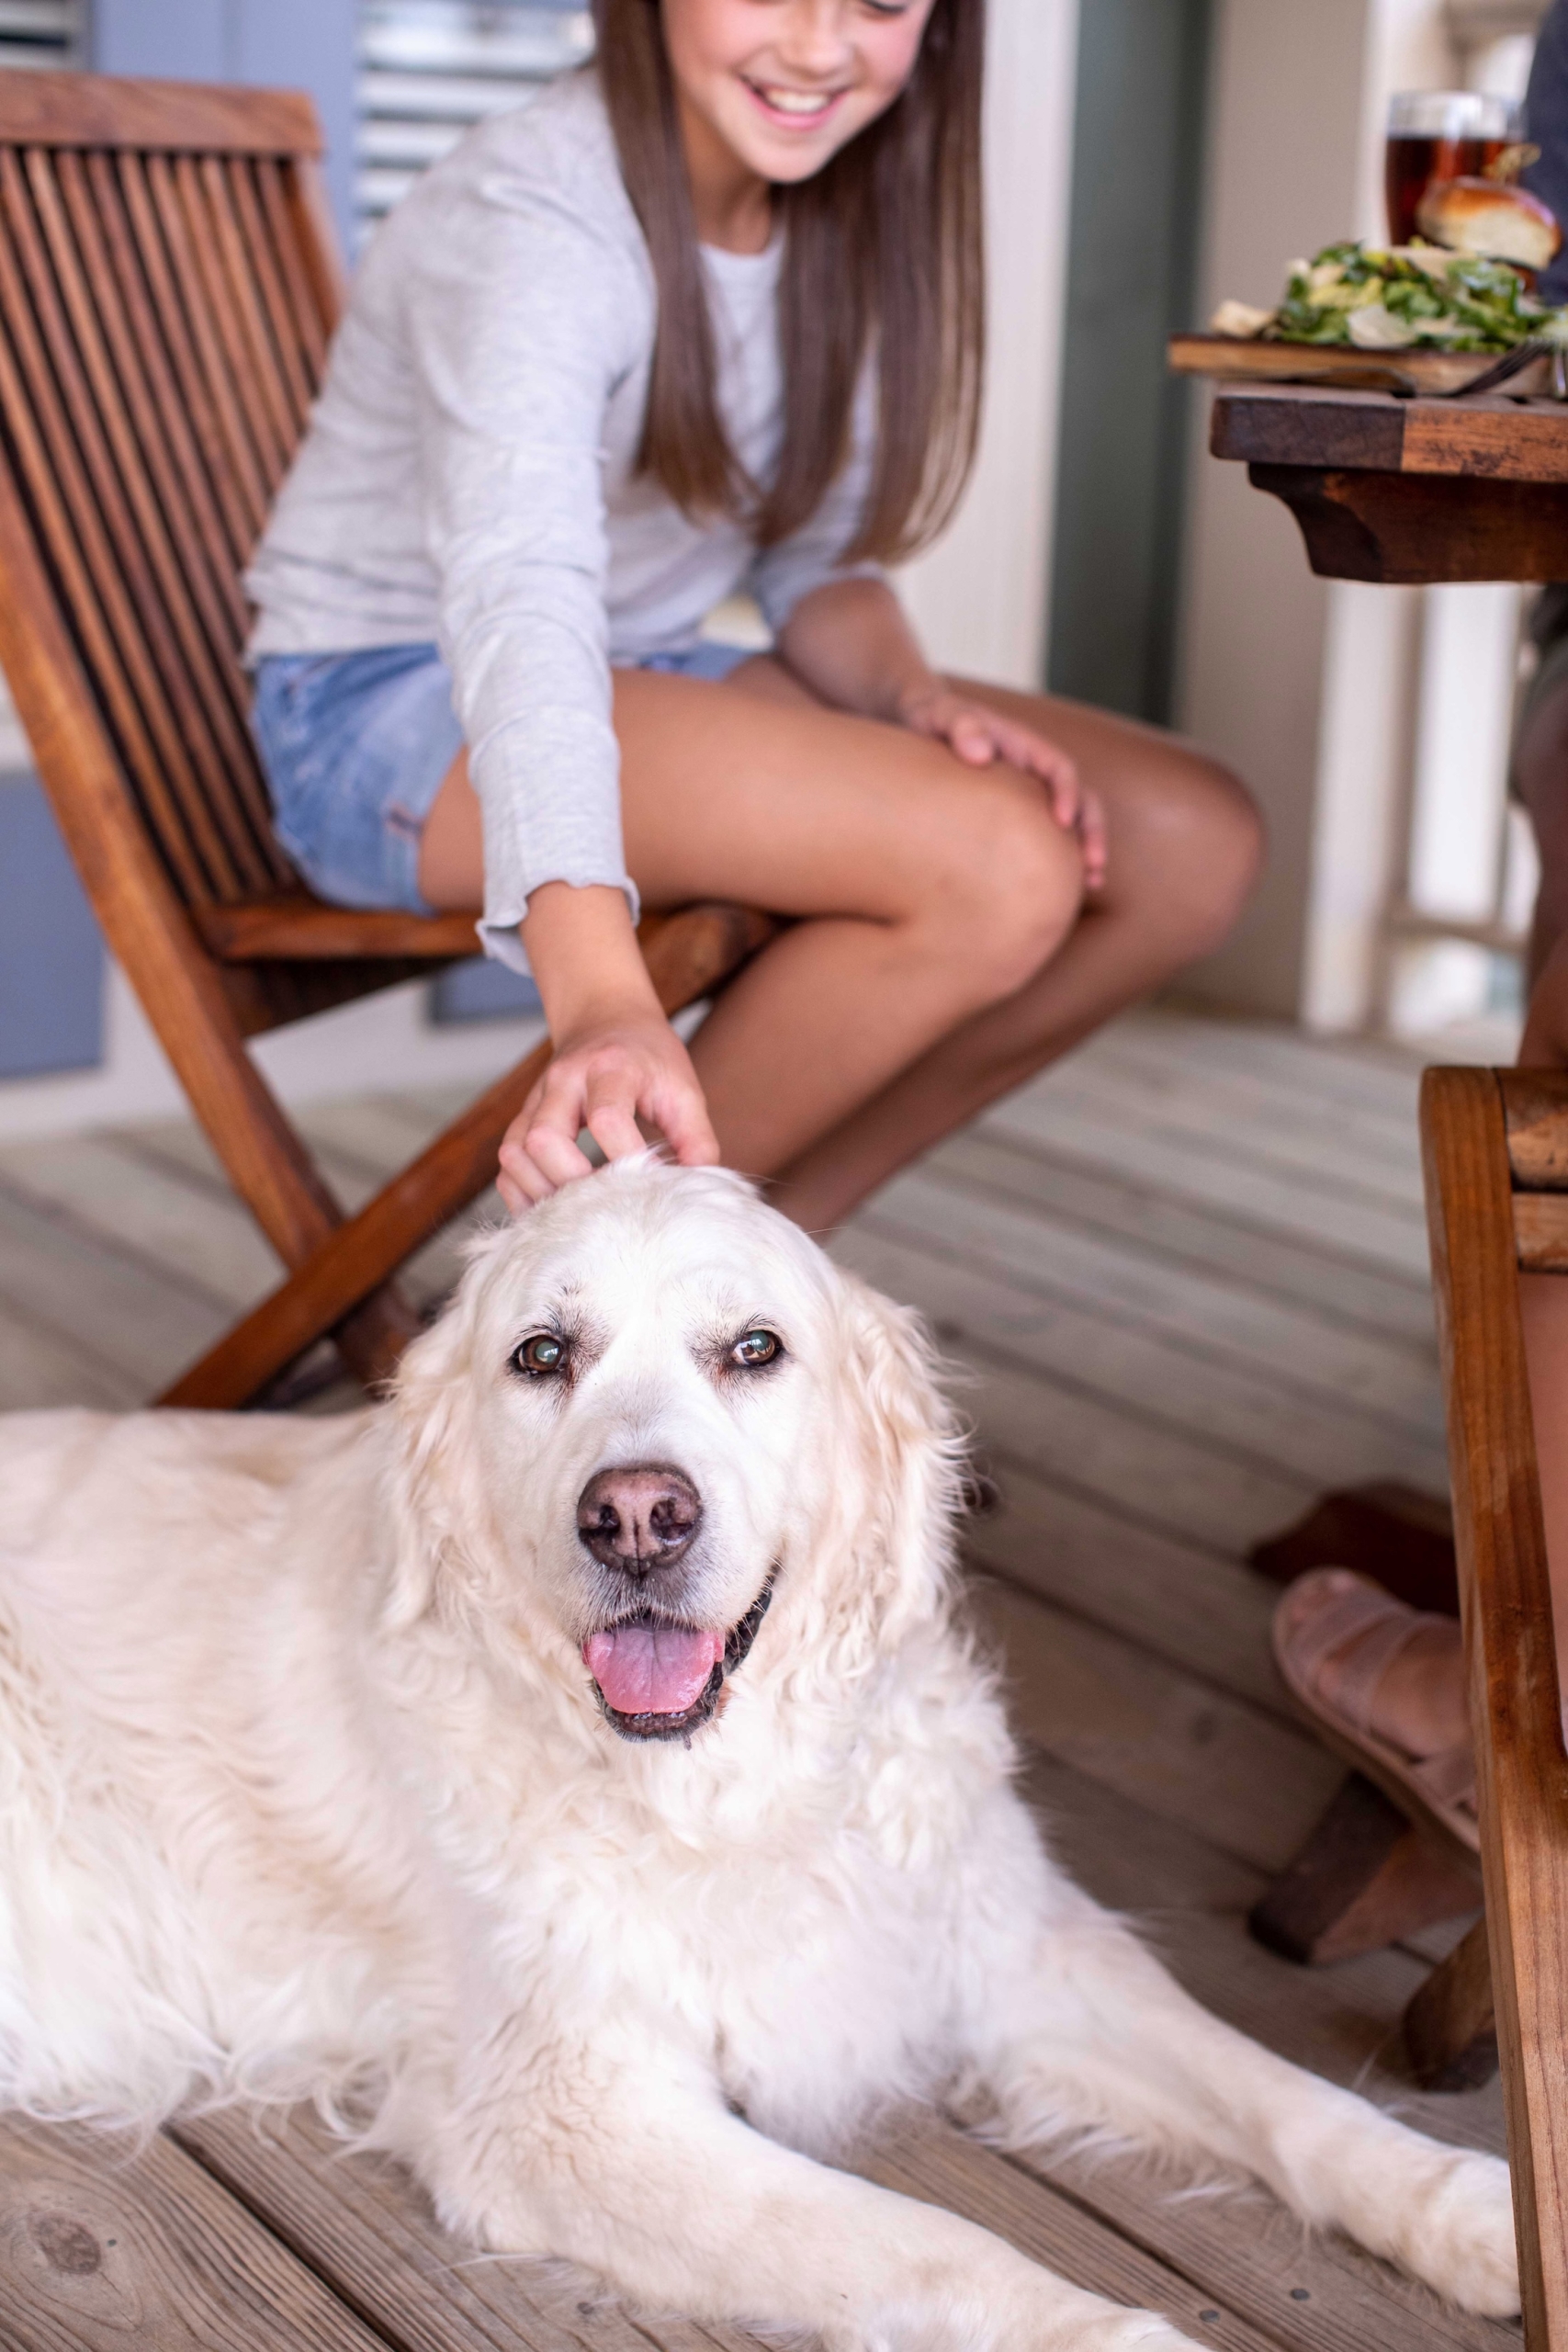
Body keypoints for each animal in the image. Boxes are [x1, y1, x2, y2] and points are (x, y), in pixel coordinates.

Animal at [0, 1161, 1523, 2352]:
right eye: (540, 1356)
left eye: (751, 1349)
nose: (635, 1518)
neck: (728, 1793)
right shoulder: (568, 2115)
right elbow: (933, 2245)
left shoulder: (1016, 1946)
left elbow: (1288, 2098)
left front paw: (1480, 2213)